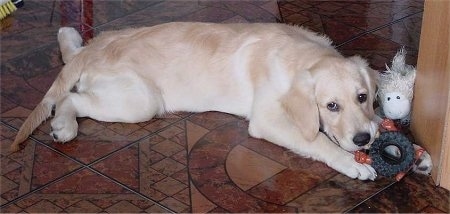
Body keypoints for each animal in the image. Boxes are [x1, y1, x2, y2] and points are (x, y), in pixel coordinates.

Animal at [10, 22, 380, 181]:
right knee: (71, 100)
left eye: (363, 97)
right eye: (331, 106)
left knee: (71, 52)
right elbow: (317, 139)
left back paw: (68, 34)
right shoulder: (267, 119)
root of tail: (91, 53)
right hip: (141, 100)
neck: (298, 54)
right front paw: (353, 163)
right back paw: (63, 125)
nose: (364, 139)